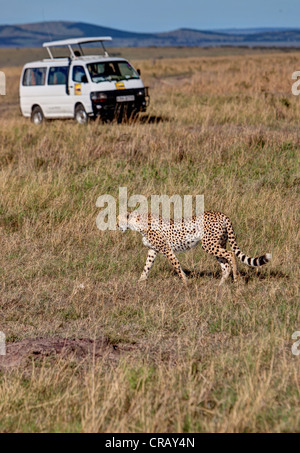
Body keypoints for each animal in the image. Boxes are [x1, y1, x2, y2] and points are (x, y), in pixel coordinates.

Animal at [117, 210, 272, 284]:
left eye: (119, 219)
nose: (117, 226)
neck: (138, 223)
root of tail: (220, 213)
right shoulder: (153, 250)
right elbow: (147, 266)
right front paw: (140, 281)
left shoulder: (166, 249)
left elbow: (176, 265)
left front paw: (186, 282)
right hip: (218, 243)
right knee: (225, 264)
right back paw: (220, 286)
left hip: (209, 244)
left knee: (231, 254)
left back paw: (236, 279)